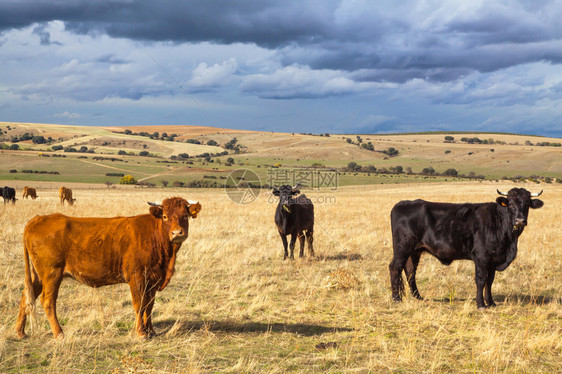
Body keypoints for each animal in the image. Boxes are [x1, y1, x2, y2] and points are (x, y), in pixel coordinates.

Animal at [13, 197, 203, 340]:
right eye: (164, 216)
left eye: (185, 215)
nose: (177, 233)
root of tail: (38, 219)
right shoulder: (137, 277)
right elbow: (139, 304)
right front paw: (141, 333)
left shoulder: (153, 279)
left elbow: (149, 305)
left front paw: (151, 331)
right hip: (51, 274)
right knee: (47, 301)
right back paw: (59, 334)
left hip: (38, 275)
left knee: (27, 295)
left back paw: (20, 332)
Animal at [388, 188, 540, 308]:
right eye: (511, 204)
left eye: (527, 204)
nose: (520, 220)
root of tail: (404, 203)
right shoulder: (481, 257)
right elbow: (481, 280)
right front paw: (481, 304)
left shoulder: (493, 260)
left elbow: (490, 281)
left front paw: (491, 302)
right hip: (403, 247)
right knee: (395, 267)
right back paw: (396, 298)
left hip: (414, 251)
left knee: (410, 271)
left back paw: (418, 297)